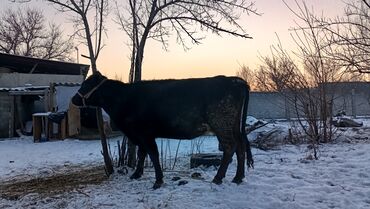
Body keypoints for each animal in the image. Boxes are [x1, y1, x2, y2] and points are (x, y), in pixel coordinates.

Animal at [71, 72, 253, 189]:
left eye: (86, 84)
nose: (73, 99)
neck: (123, 99)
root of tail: (236, 80)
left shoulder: (144, 133)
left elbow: (152, 154)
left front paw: (158, 181)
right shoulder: (141, 135)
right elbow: (142, 154)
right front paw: (136, 174)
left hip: (221, 123)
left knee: (230, 147)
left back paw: (218, 178)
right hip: (233, 125)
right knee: (241, 145)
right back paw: (238, 177)